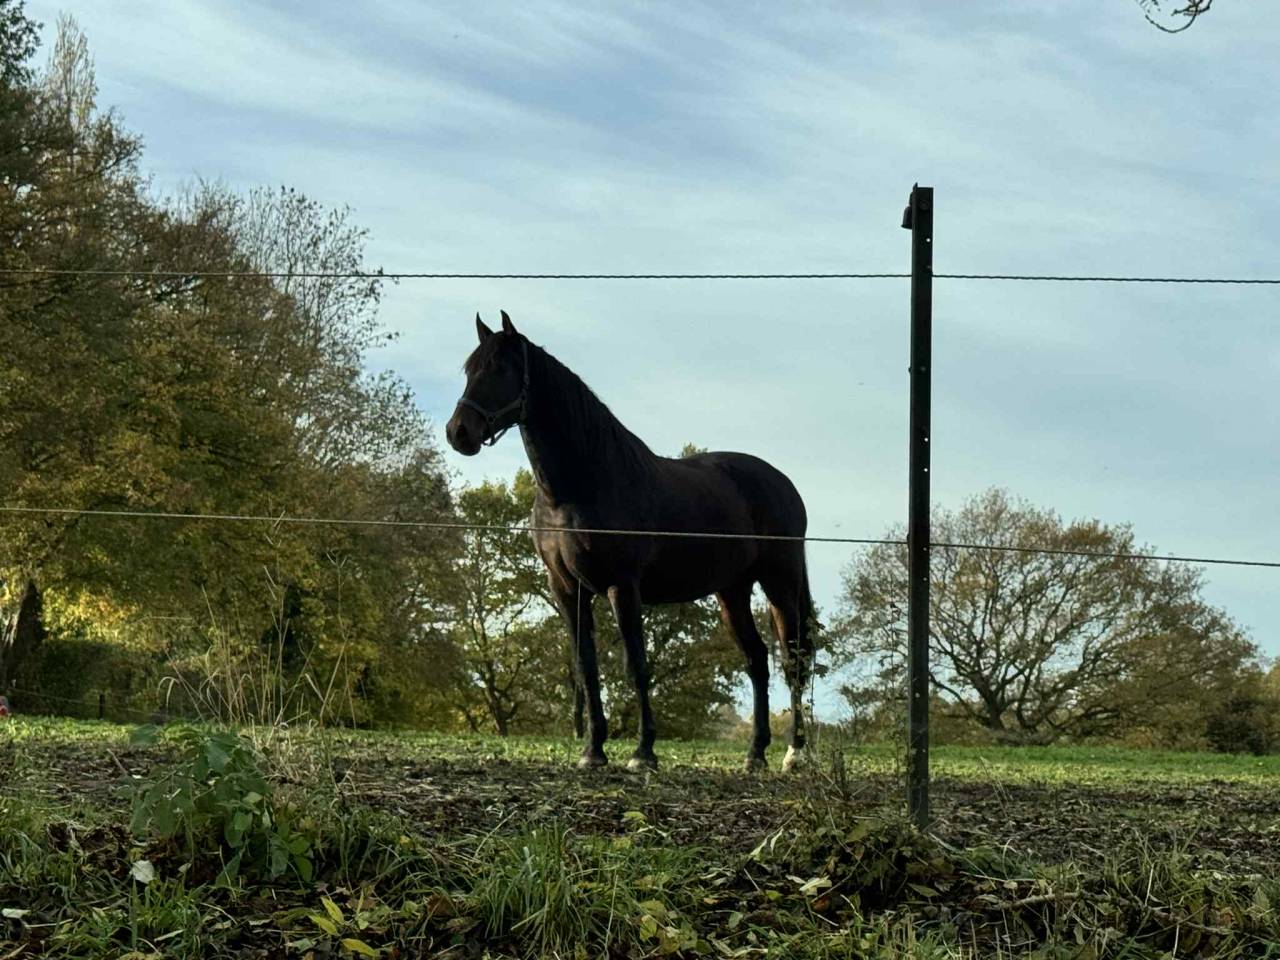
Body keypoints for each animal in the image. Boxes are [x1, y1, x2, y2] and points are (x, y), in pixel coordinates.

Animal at [446, 311, 815, 773]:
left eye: (499, 368)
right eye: (468, 370)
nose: (459, 432)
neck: (578, 486)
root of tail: (783, 483)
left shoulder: (622, 586)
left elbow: (635, 665)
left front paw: (643, 753)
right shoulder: (567, 589)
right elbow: (586, 668)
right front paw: (593, 751)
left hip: (779, 582)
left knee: (793, 660)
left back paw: (795, 753)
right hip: (732, 591)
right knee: (758, 662)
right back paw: (755, 755)